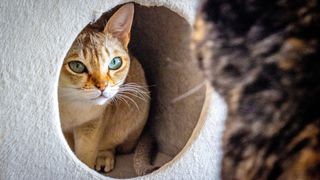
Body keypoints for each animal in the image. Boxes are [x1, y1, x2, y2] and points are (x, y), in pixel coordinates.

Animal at [58, 2, 154, 174]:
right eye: (77, 66)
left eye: (115, 62)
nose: (103, 86)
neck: (70, 104)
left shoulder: (92, 123)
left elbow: (85, 155)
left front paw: (84, 169)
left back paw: (104, 156)